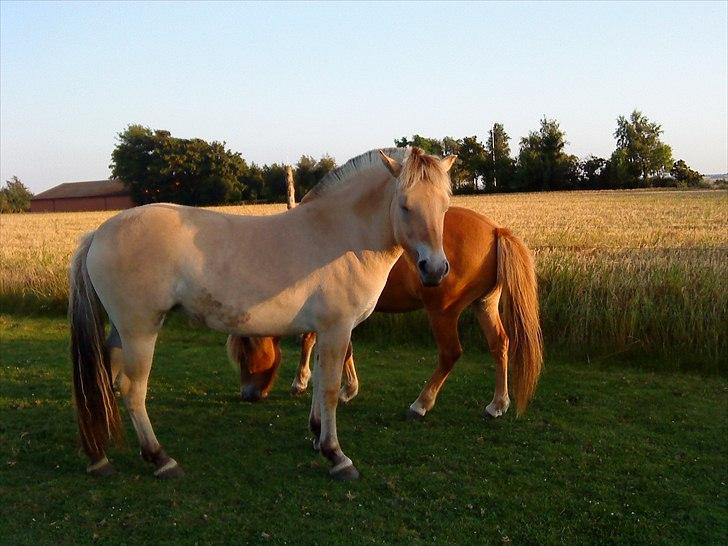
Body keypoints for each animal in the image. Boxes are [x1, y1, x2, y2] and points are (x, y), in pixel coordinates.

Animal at [68, 147, 456, 478]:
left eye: (444, 206)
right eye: (405, 205)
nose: (435, 269)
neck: (340, 235)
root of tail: (99, 233)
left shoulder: (323, 331)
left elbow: (318, 384)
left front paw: (317, 435)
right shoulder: (336, 329)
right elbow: (330, 389)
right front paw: (336, 456)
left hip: (121, 331)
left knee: (107, 376)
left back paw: (100, 456)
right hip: (139, 330)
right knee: (132, 388)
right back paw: (161, 459)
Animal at [230, 206, 544, 418]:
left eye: (244, 351)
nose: (247, 394)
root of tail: (495, 230)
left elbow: (312, 341)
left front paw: (302, 382)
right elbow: (344, 348)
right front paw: (348, 389)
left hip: (442, 312)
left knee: (450, 354)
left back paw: (421, 404)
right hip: (484, 305)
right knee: (500, 345)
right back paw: (497, 404)